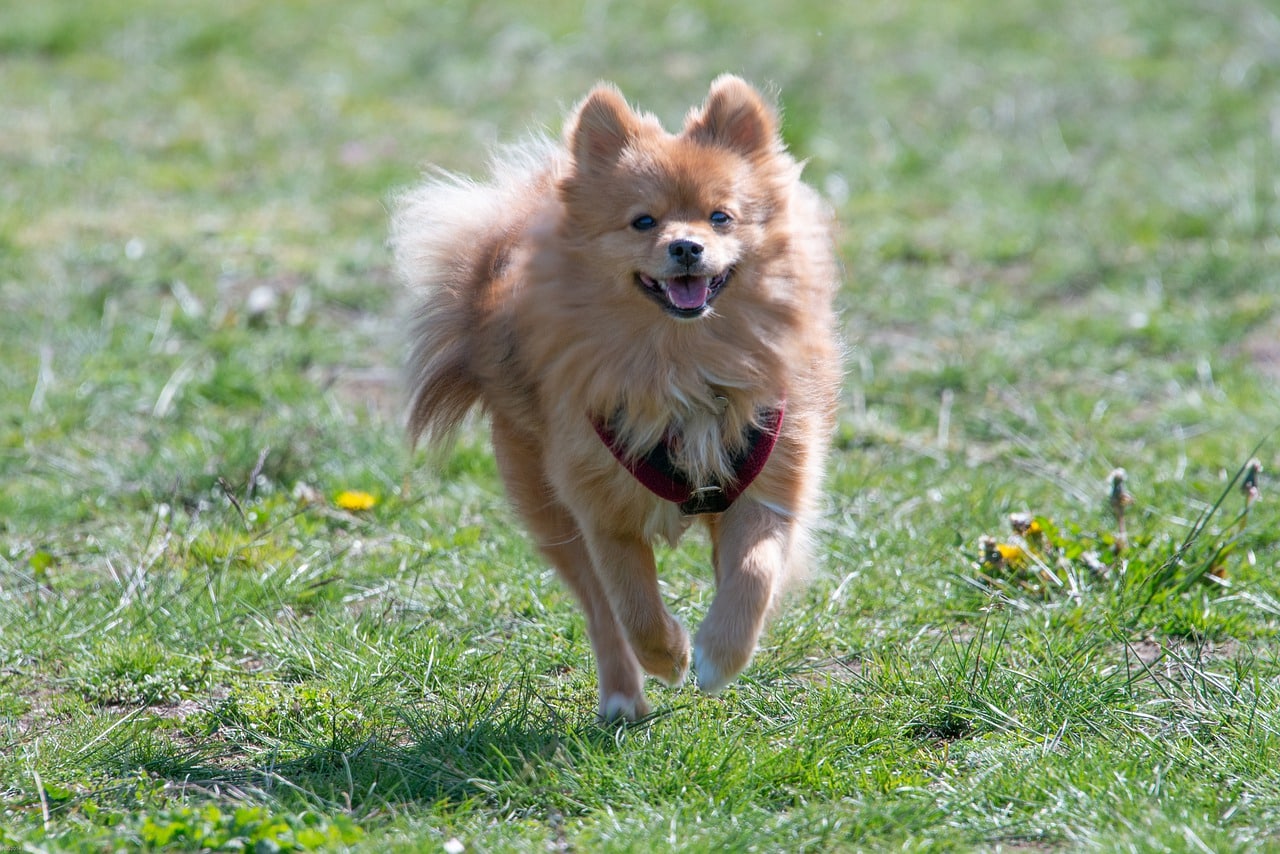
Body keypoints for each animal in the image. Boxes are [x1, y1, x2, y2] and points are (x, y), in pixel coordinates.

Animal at [394, 75, 844, 722]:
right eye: (643, 222)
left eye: (721, 217)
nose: (686, 246)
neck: (680, 360)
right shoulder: (604, 513)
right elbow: (633, 606)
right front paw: (670, 655)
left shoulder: (770, 487)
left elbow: (754, 573)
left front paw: (720, 654)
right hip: (551, 513)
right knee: (601, 609)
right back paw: (623, 697)